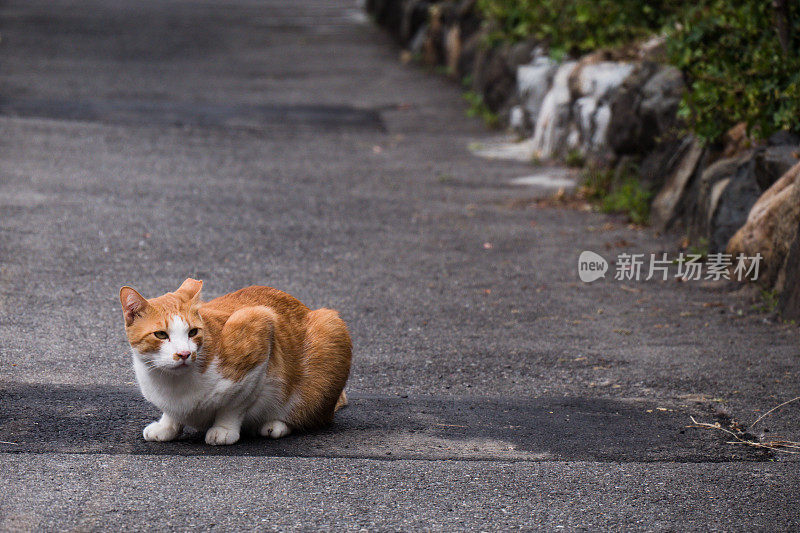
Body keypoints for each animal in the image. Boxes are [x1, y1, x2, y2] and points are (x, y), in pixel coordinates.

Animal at [118, 278, 350, 444]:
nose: (184, 354)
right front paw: (167, 426)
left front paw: (224, 429)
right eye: (161, 335)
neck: (172, 383)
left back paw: (276, 424)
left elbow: (235, 404)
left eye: (193, 332)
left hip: (330, 326)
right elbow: (172, 413)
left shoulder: (260, 325)